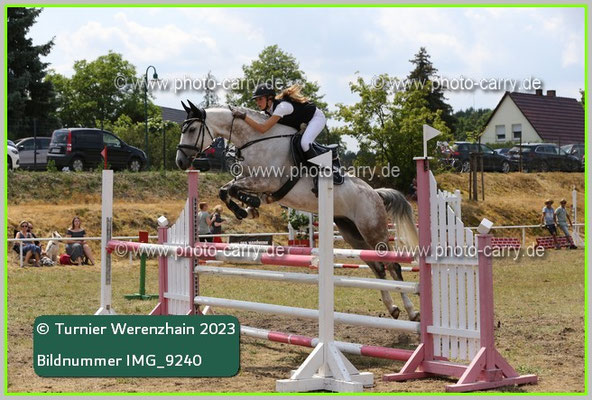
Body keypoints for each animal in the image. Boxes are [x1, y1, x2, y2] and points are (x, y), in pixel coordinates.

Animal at [176, 101, 420, 321]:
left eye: (191, 129)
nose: (180, 162)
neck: (256, 139)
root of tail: (375, 193)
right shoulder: (253, 181)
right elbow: (225, 189)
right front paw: (246, 208)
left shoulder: (267, 181)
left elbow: (232, 189)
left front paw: (247, 207)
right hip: (352, 233)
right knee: (377, 267)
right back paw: (392, 308)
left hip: (373, 229)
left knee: (393, 266)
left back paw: (412, 311)